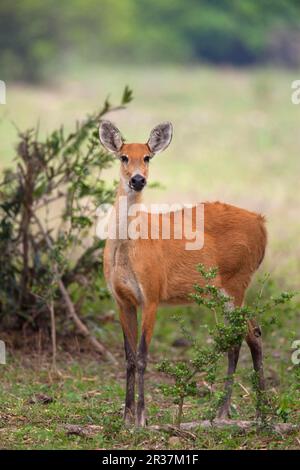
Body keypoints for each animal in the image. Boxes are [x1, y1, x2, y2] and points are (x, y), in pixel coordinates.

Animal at [98, 120, 268, 426]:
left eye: (148, 157)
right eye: (123, 157)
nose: (138, 180)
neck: (128, 250)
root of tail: (262, 224)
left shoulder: (152, 293)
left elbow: (143, 356)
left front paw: (142, 418)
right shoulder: (121, 299)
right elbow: (128, 357)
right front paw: (126, 417)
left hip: (237, 281)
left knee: (243, 335)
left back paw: (237, 413)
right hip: (224, 290)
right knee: (249, 334)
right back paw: (243, 412)